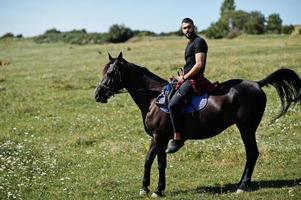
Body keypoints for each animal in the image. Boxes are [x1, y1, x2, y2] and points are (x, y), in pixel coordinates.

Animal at [94, 52, 300, 198]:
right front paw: (144, 188)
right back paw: (241, 184)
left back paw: (242, 186)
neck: (154, 98)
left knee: (252, 153)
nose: (97, 95)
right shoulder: (155, 137)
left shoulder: (161, 137)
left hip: (247, 128)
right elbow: (147, 160)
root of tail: (257, 84)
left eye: (111, 73)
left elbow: (160, 163)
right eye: (103, 72)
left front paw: (158, 190)